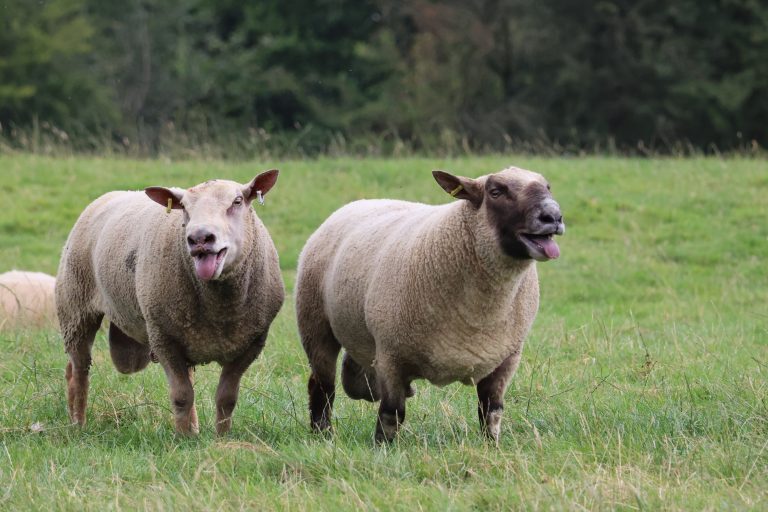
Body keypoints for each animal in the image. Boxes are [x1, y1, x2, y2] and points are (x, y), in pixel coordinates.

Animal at [56, 170, 284, 434]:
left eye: (237, 201)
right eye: (183, 207)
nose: (199, 238)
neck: (220, 308)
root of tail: (111, 195)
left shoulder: (250, 345)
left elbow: (226, 398)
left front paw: (221, 437)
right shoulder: (163, 338)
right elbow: (182, 395)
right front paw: (183, 438)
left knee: (72, 369)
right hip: (75, 310)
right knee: (79, 370)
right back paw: (77, 424)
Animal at [296, 166, 568, 442]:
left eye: (547, 187)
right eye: (495, 192)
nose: (553, 216)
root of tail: (360, 202)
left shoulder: (506, 359)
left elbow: (492, 412)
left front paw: (491, 446)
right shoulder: (390, 355)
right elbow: (391, 414)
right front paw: (383, 447)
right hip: (315, 324)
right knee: (322, 386)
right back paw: (323, 433)